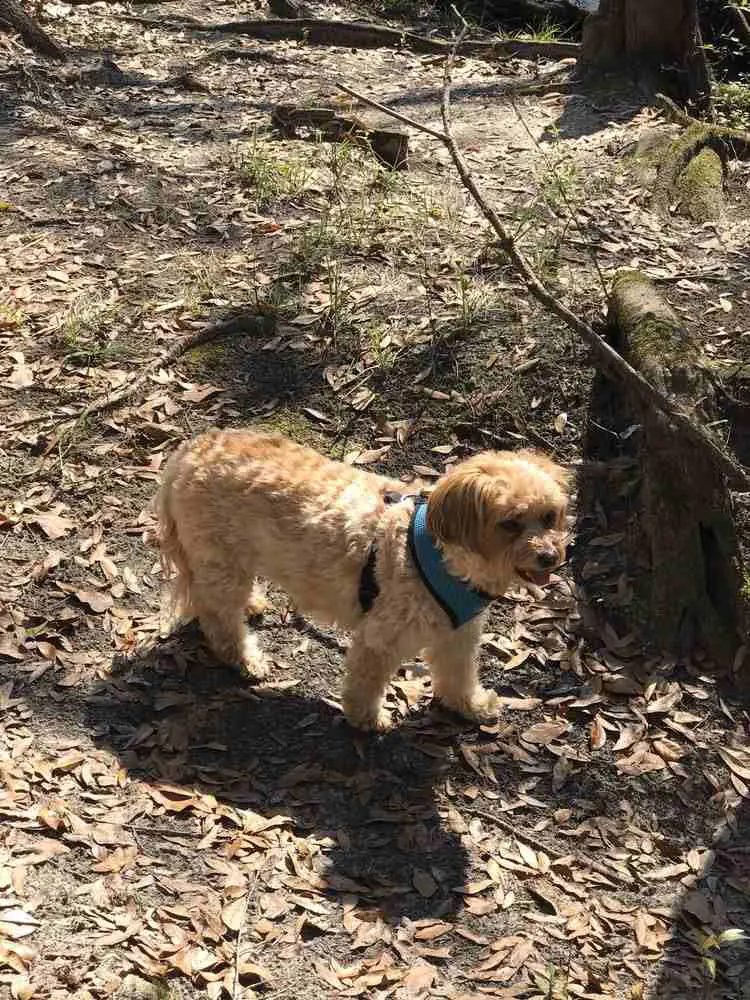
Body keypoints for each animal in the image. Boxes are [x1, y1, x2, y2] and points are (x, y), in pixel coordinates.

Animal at [159, 434, 568, 732]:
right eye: (510, 523)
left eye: (550, 516)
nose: (550, 556)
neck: (440, 557)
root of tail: (188, 451)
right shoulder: (380, 638)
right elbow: (366, 683)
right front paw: (367, 719)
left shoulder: (458, 635)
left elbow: (458, 675)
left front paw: (470, 706)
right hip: (222, 563)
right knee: (218, 618)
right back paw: (245, 658)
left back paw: (253, 603)